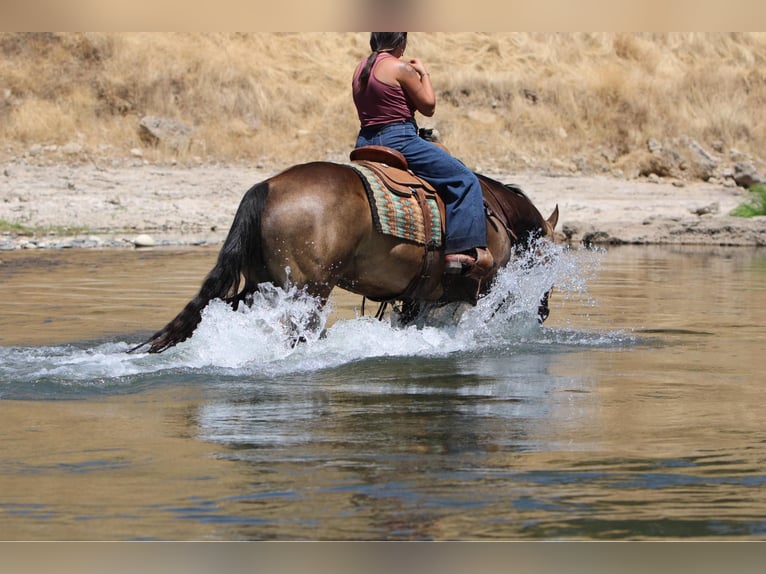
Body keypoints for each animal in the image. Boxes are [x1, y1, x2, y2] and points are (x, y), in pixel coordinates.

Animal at [132, 147, 560, 356]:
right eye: (551, 259)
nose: (543, 311)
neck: (497, 212)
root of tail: (268, 186)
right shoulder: (484, 290)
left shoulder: (419, 299)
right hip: (309, 291)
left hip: (262, 286)